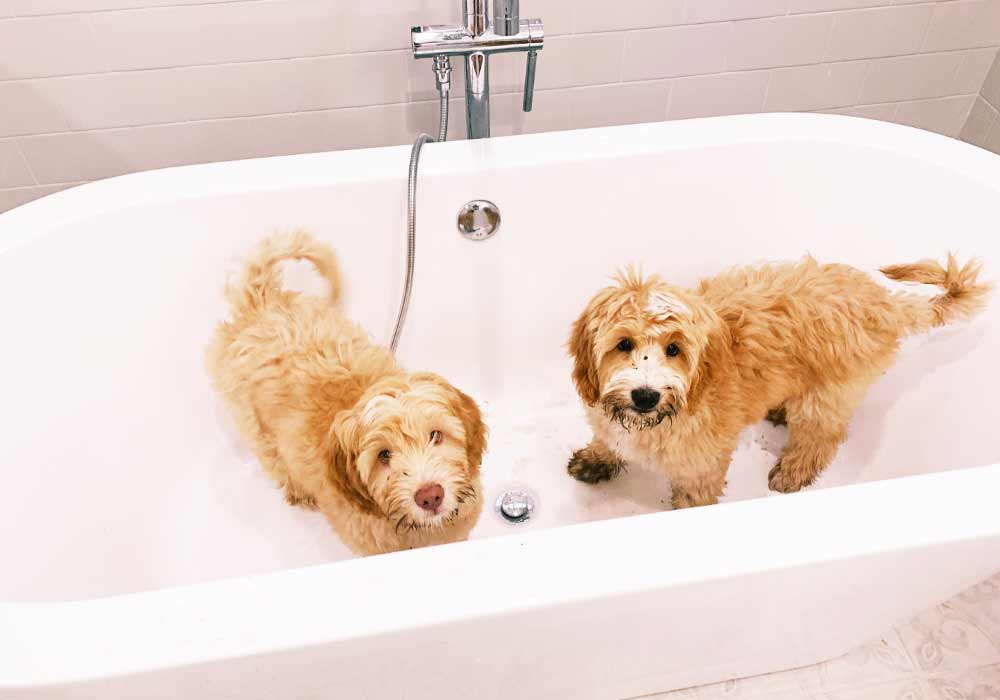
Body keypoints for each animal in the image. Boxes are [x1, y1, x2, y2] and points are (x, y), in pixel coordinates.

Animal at [568, 254, 988, 506]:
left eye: (674, 349)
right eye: (624, 343)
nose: (645, 396)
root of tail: (883, 301)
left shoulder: (701, 467)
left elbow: (693, 497)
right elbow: (606, 441)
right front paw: (595, 460)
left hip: (827, 396)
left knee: (823, 437)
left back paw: (792, 472)